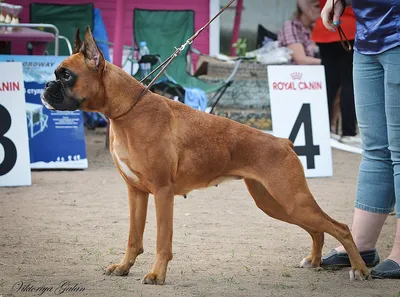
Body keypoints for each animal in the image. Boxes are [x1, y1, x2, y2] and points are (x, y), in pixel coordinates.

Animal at [40, 26, 368, 284]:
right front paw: (124, 267)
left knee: (339, 228)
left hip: (291, 200)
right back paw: (314, 261)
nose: (45, 86)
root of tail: (283, 141)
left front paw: (157, 275)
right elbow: (134, 237)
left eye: (66, 75)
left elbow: (162, 240)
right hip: (276, 203)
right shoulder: (136, 193)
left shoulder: (162, 193)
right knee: (317, 230)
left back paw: (361, 270)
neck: (127, 111)